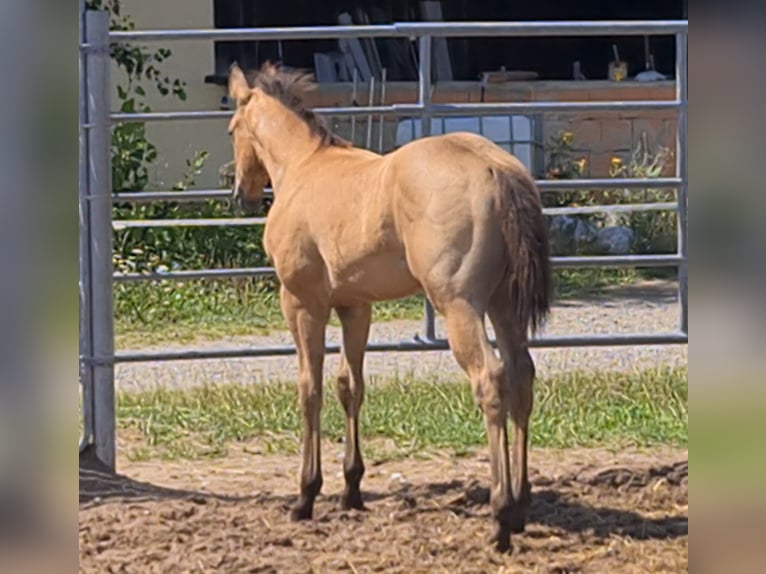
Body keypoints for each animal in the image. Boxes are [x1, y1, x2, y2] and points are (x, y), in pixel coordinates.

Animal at [226, 62, 552, 553]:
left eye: (232, 129)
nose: (240, 192)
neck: (304, 166)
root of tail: (497, 168)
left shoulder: (302, 302)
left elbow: (310, 388)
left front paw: (305, 495)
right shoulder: (355, 307)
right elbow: (350, 386)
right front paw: (351, 489)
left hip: (459, 304)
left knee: (490, 380)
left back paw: (499, 517)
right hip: (502, 303)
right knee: (521, 376)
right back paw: (520, 506)